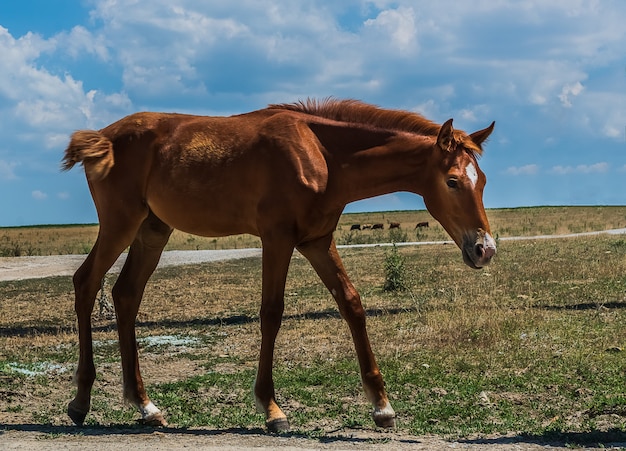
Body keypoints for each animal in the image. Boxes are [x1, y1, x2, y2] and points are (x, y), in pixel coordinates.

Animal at [61, 100, 494, 434]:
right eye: (452, 181)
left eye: (483, 181)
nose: (484, 249)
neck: (322, 154)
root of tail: (103, 136)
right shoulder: (277, 239)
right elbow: (271, 313)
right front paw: (271, 409)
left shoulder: (317, 242)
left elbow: (352, 305)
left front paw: (382, 406)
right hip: (120, 224)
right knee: (86, 283)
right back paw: (80, 401)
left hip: (152, 230)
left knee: (125, 294)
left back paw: (145, 405)